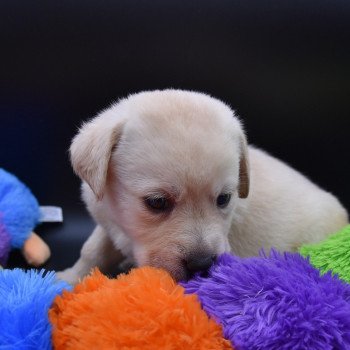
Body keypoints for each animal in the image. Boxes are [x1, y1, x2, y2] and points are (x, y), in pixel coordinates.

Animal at [59, 89, 348, 284]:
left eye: (224, 199)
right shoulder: (107, 219)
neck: (127, 232)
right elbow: (91, 250)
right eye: (157, 202)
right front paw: (69, 277)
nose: (202, 264)